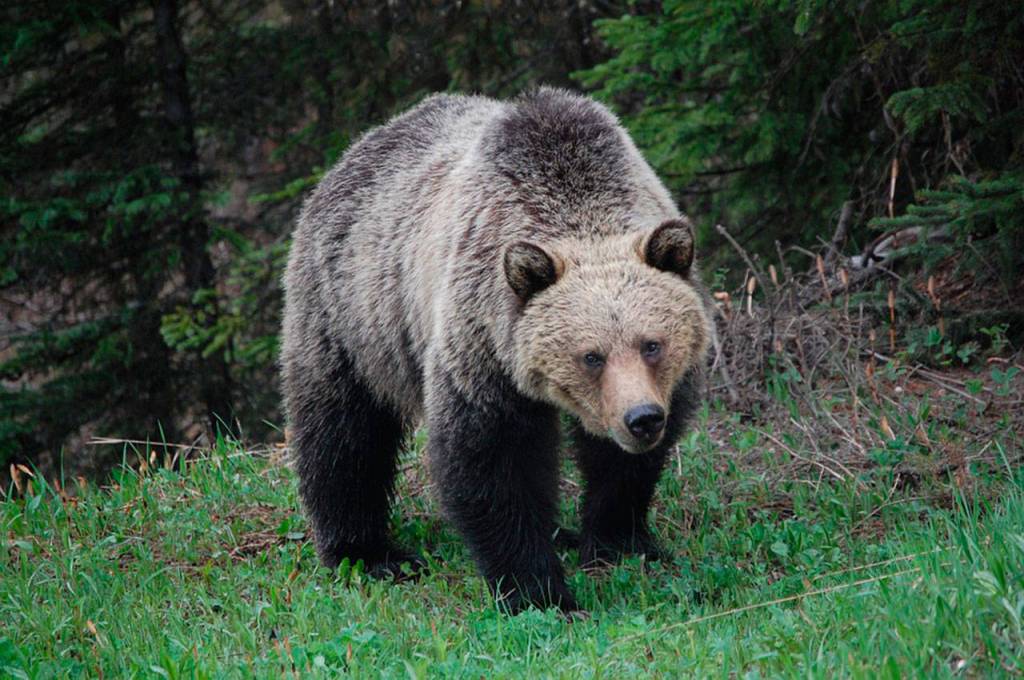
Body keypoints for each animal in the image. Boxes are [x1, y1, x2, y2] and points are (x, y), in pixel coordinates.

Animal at [281, 87, 711, 613]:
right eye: (591, 355)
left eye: (652, 344)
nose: (642, 418)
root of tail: (356, 149)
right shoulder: (482, 342)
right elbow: (493, 459)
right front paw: (540, 591)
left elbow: (623, 466)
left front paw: (619, 541)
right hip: (351, 312)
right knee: (344, 432)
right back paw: (368, 552)